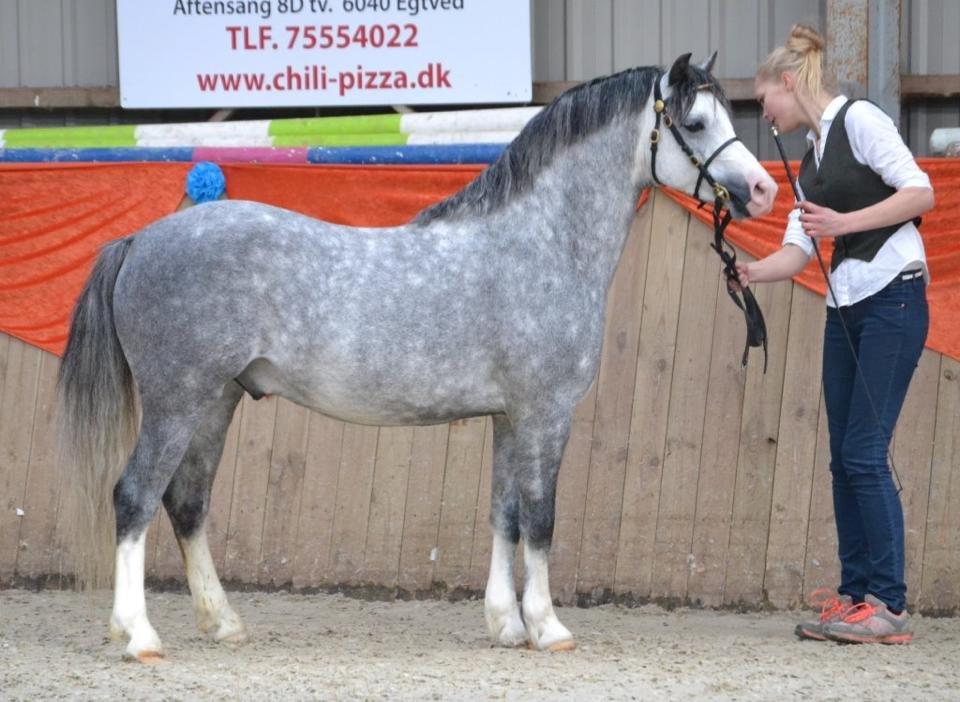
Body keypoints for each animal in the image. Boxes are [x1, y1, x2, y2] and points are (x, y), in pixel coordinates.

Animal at [58, 52, 777, 662]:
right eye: (696, 122)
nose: (765, 190)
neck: (540, 243)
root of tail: (139, 240)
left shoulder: (508, 418)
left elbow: (504, 515)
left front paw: (506, 624)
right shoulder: (545, 414)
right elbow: (540, 518)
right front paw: (548, 628)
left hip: (215, 401)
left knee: (187, 503)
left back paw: (223, 622)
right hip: (176, 403)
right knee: (135, 497)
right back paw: (139, 636)